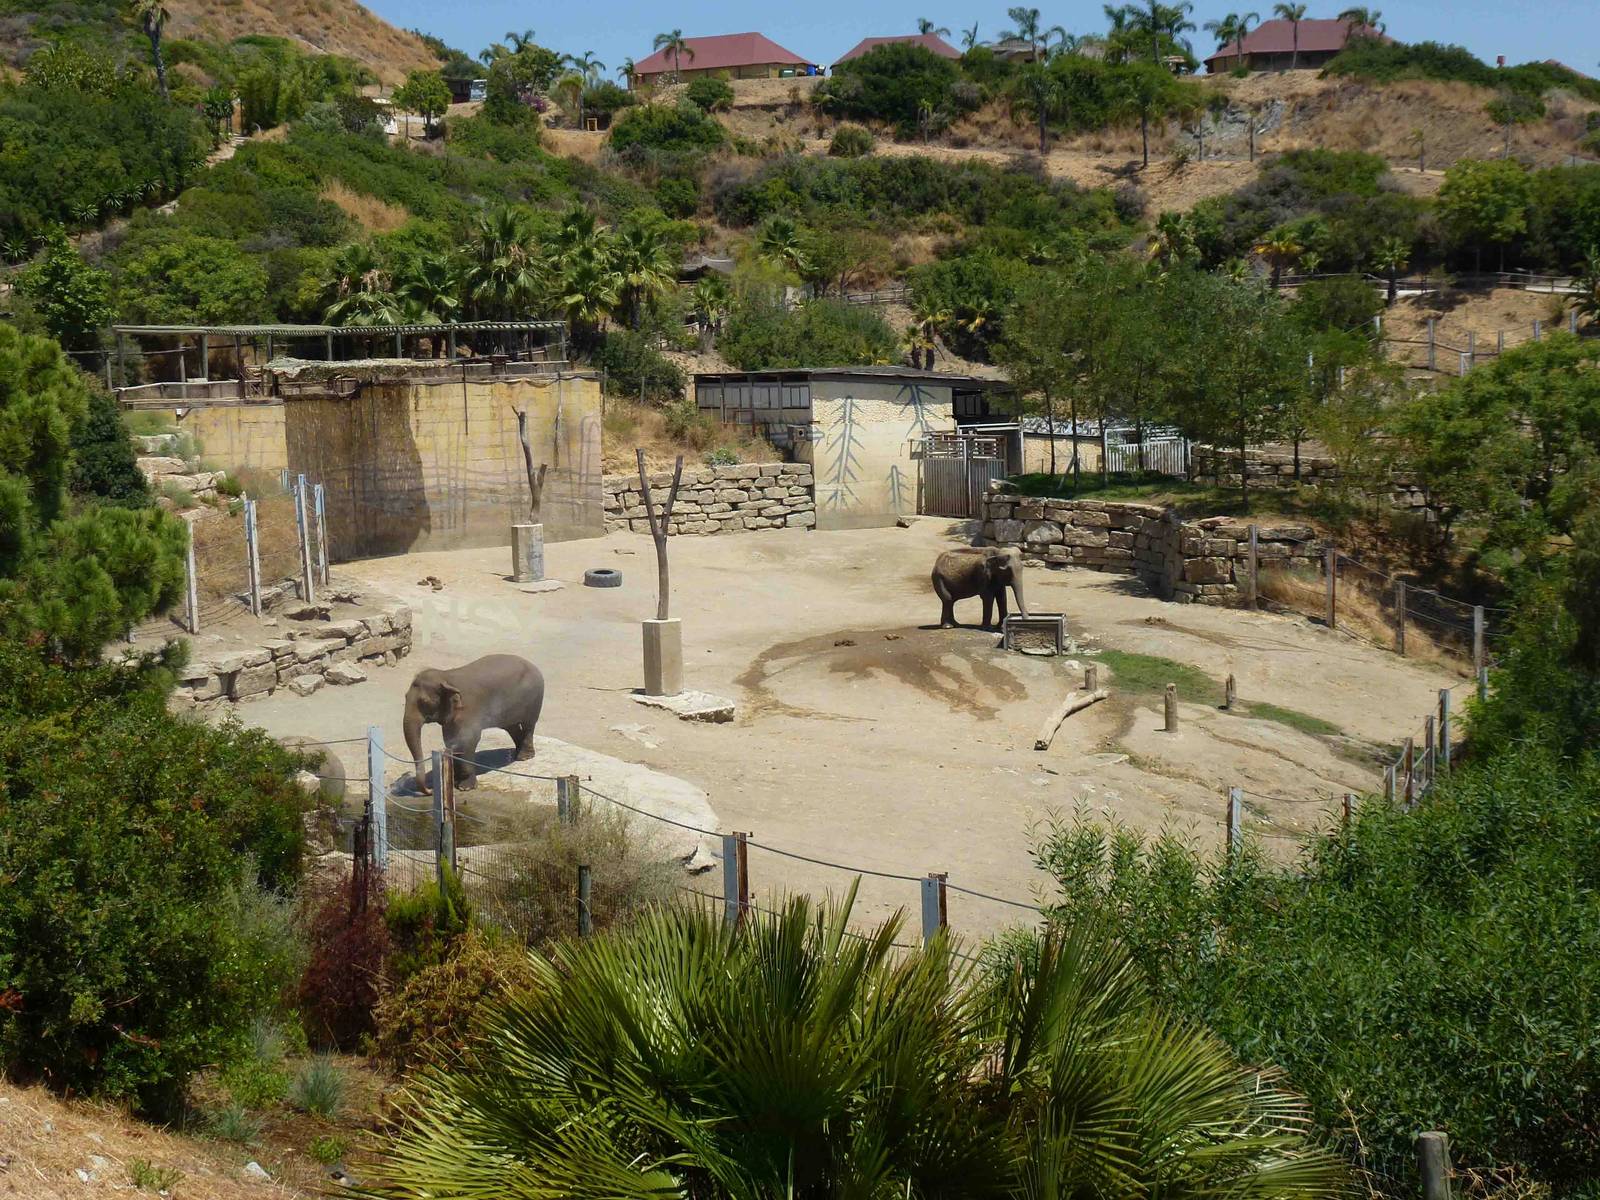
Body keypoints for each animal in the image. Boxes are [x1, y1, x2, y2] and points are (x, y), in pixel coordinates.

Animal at [403, 654, 546, 793]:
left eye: (425, 702)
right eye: (405, 697)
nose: (430, 790)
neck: (446, 676)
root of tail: (533, 665)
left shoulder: (470, 710)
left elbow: (469, 740)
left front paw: (465, 787)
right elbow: (450, 739)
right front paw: (455, 781)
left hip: (534, 698)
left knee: (528, 724)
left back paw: (524, 757)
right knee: (511, 727)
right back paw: (517, 752)